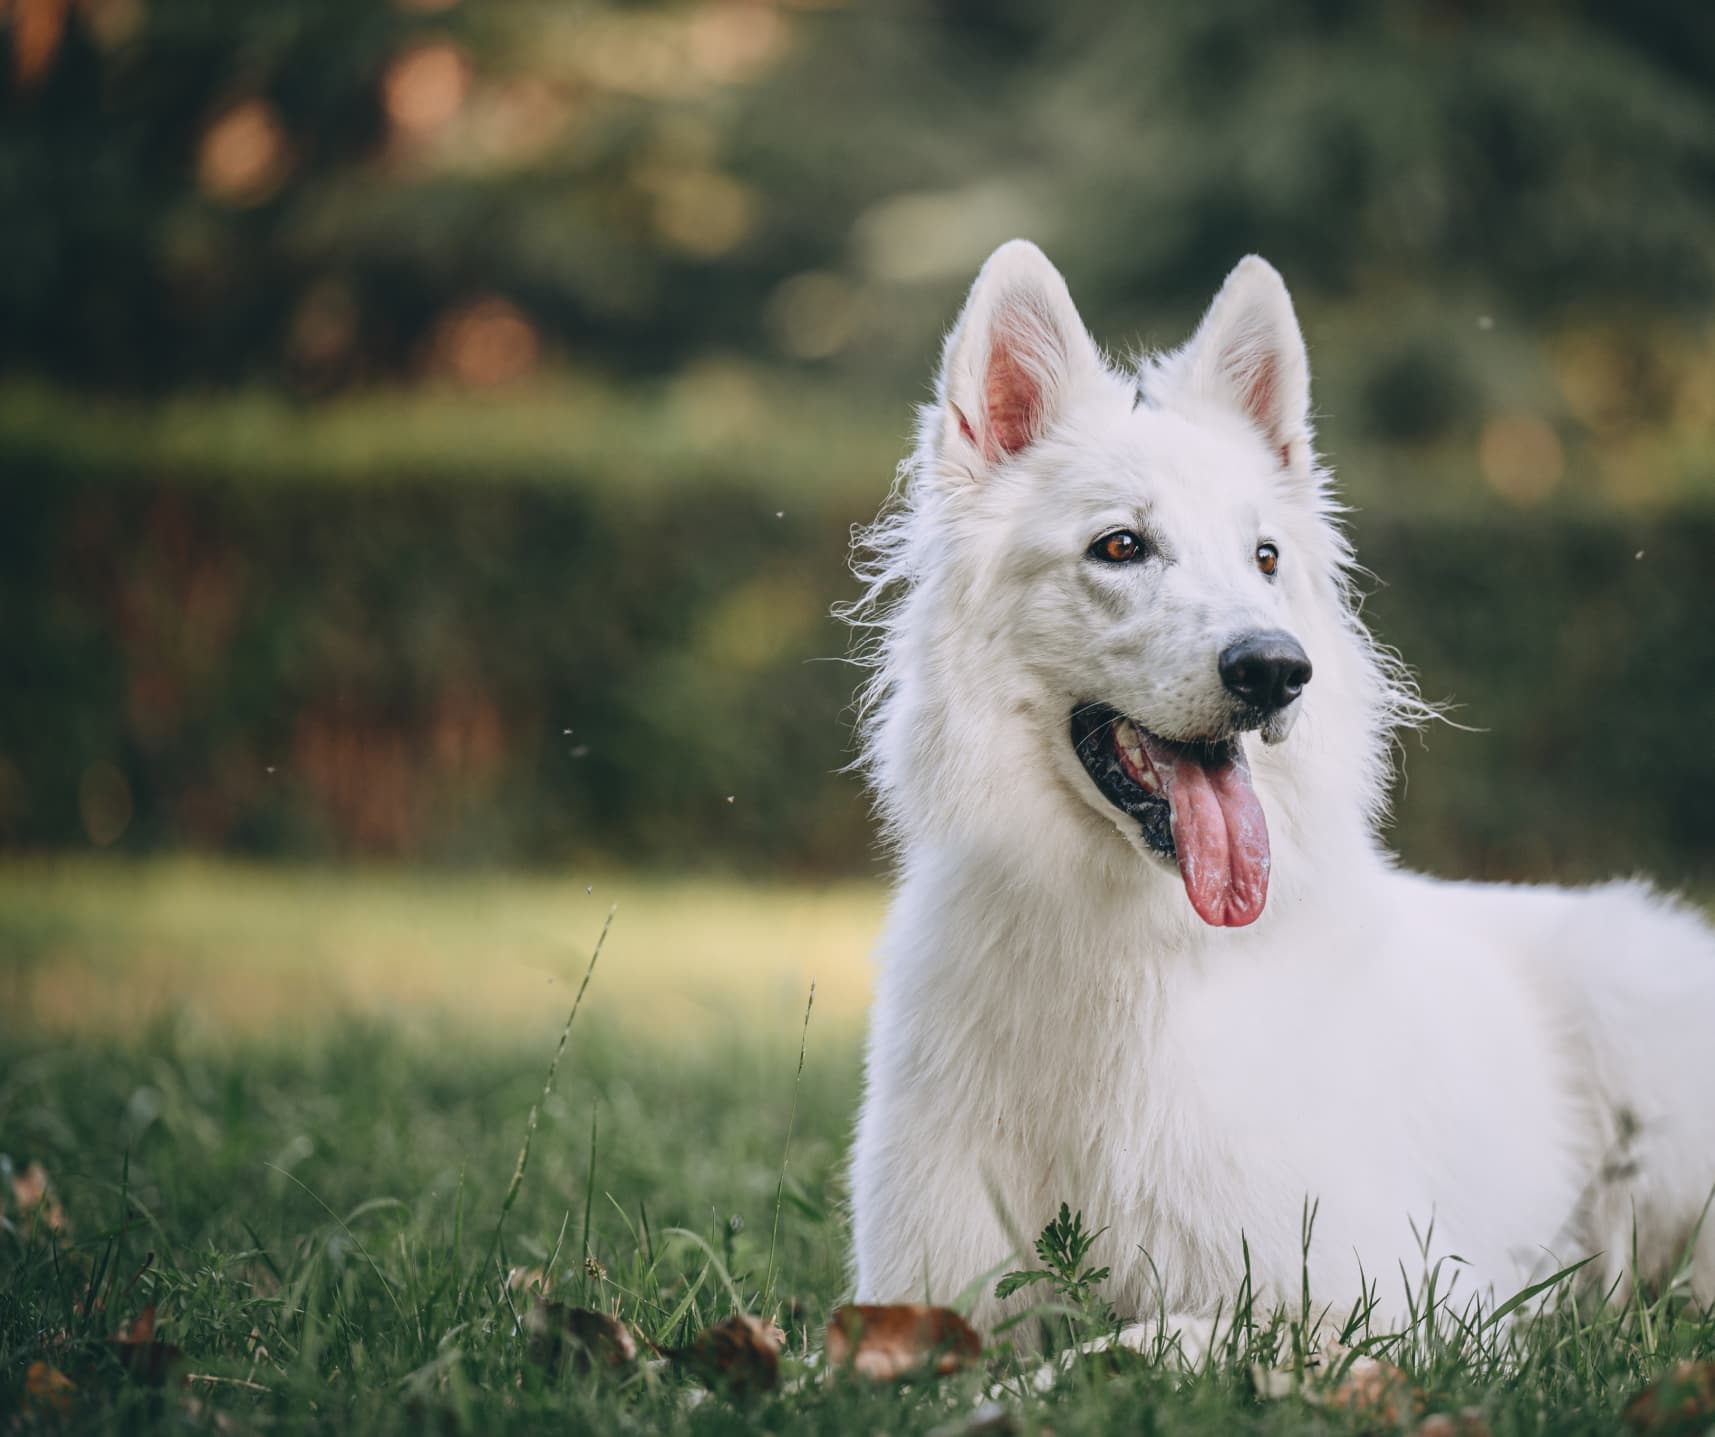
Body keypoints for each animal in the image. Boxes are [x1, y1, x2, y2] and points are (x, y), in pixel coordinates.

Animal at [850, 241, 1715, 1358]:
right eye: (1119, 546)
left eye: (1264, 558)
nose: (1275, 670)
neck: (1124, 947)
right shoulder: (917, 1290)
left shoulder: (1386, 1303)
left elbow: (1125, 1344)